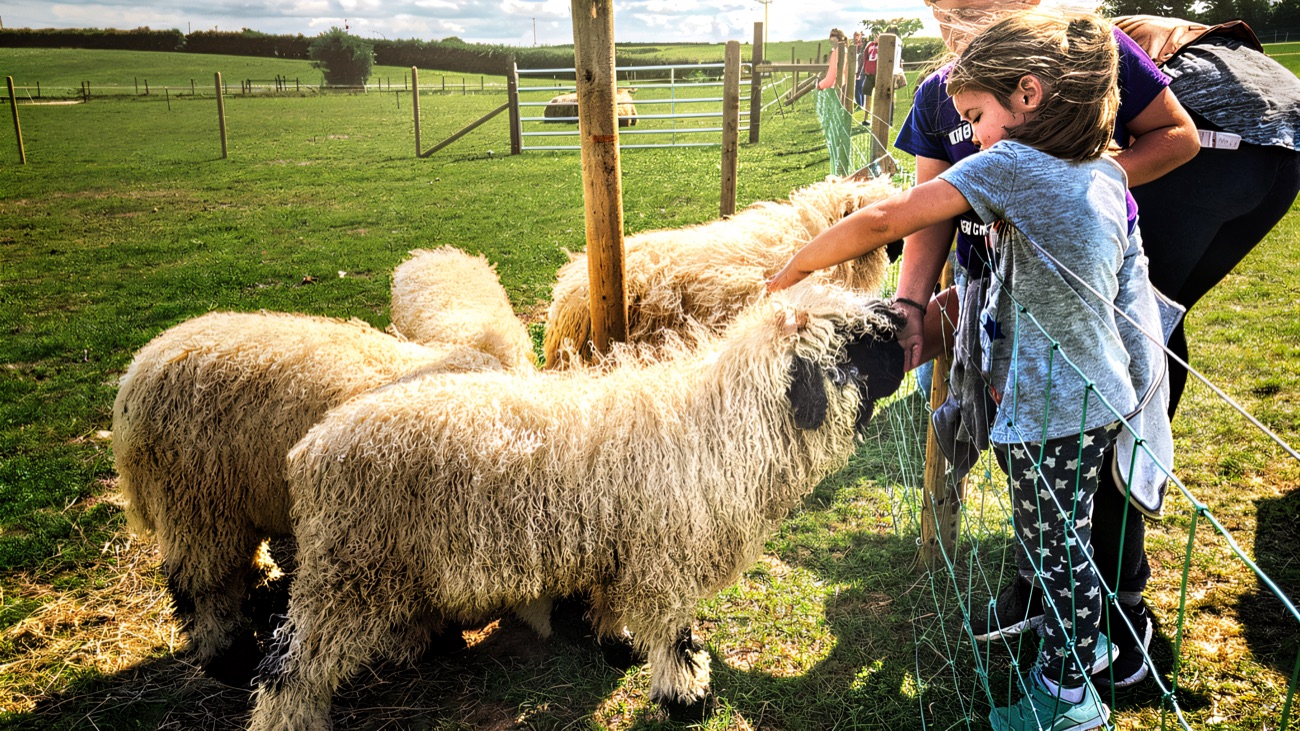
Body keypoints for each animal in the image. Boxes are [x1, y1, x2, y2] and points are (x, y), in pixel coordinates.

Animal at [112, 311, 503, 687]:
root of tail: (137, 374)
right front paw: (431, 641)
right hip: (196, 503)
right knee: (203, 585)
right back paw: (230, 660)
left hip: (228, 505)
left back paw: (265, 585)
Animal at [247, 284, 905, 729]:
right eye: (859, 343)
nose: (905, 315)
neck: (722, 427)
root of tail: (311, 448)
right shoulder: (664, 558)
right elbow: (675, 635)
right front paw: (688, 698)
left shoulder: (622, 545)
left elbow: (614, 604)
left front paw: (617, 645)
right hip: (348, 568)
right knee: (289, 665)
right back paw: (289, 718)